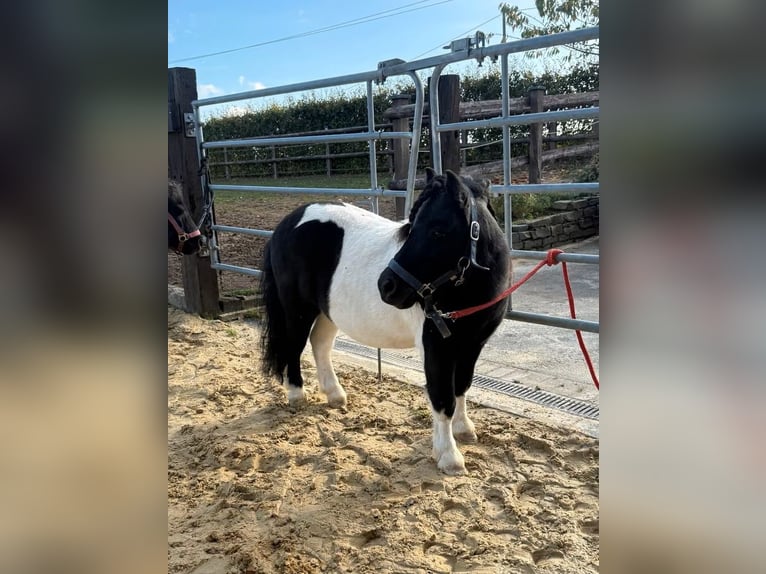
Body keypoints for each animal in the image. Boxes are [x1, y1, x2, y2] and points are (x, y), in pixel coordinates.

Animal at [259, 168, 511, 475]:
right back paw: (297, 394)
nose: (386, 286)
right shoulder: (436, 347)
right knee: (293, 347)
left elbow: (462, 386)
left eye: (437, 230)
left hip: (327, 311)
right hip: (297, 309)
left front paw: (464, 430)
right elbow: (443, 398)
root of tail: (287, 224)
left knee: (319, 344)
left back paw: (335, 394)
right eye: (411, 228)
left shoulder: (473, 345)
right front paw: (449, 456)